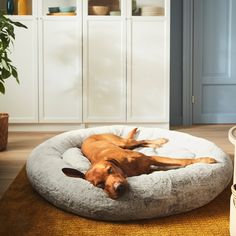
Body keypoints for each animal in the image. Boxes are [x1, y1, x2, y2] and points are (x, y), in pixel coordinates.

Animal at [61, 128, 217, 198]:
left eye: (110, 170)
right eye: (99, 185)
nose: (119, 188)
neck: (124, 168)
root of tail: (90, 135)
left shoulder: (151, 159)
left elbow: (183, 161)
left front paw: (206, 160)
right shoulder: (150, 167)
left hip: (123, 143)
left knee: (139, 140)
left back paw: (159, 141)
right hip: (127, 145)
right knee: (140, 142)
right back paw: (157, 144)